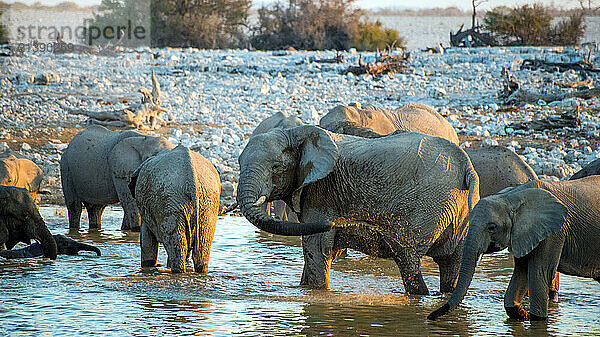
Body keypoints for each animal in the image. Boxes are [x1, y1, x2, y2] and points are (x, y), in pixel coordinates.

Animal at [237, 126, 480, 294]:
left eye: (275, 166)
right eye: (239, 163)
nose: (340, 222)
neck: (296, 132)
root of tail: (467, 167)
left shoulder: (321, 193)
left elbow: (317, 248)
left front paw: (315, 295)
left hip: (427, 207)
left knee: (407, 260)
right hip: (459, 211)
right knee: (451, 265)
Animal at [428, 176, 600, 320]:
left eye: (492, 227)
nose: (430, 317)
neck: (512, 197)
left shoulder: (553, 233)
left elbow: (539, 274)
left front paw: (535, 319)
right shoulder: (527, 234)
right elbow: (522, 272)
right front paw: (522, 315)